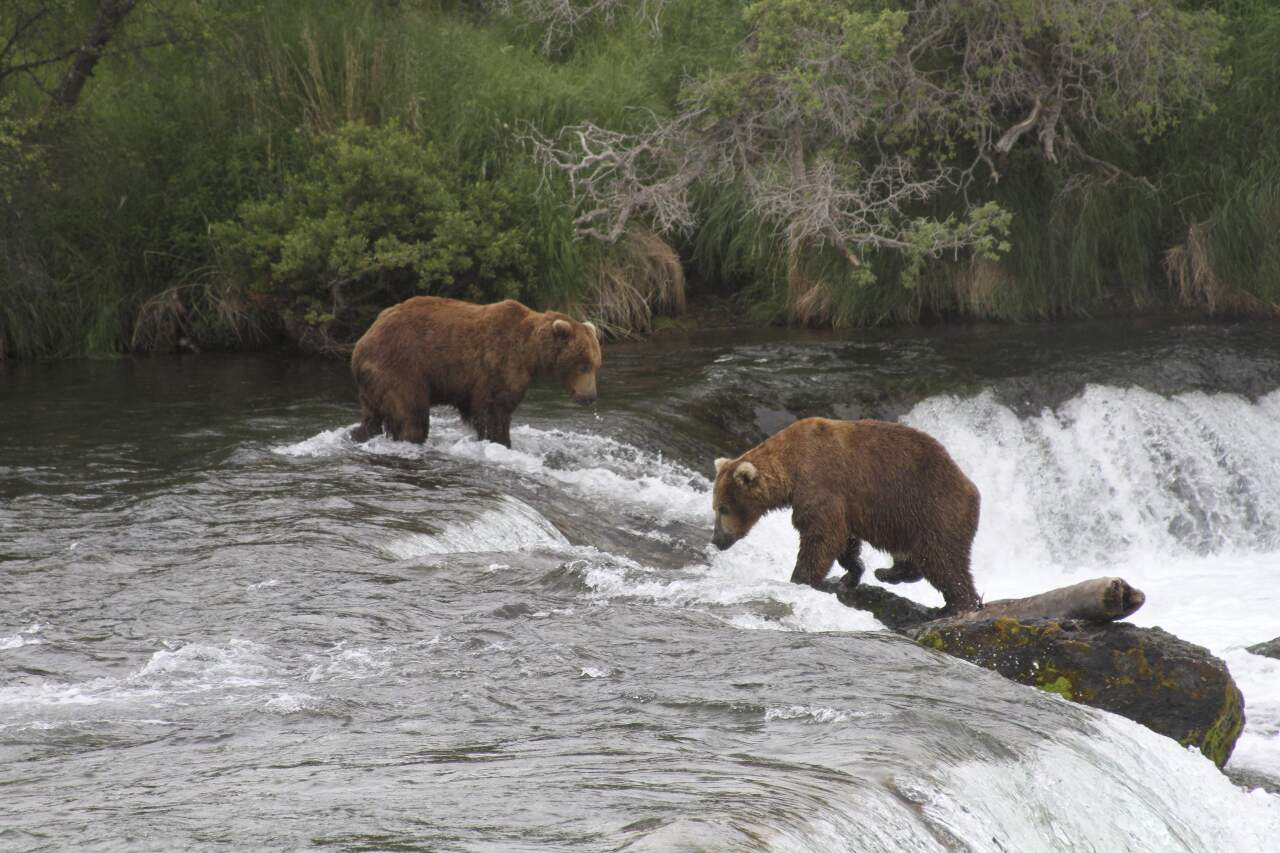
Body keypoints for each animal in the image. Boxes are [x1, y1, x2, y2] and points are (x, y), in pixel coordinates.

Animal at [349, 296, 602, 448]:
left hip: (373, 385)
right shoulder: (500, 363)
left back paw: (358, 435)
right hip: (401, 367)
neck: (532, 352)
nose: (590, 397)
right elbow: (495, 410)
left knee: (372, 418)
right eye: (583, 365)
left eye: (596, 364)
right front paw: (501, 441)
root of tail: (360, 344)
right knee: (411, 414)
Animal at [710, 417, 982, 613]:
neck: (792, 468)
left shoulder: (820, 482)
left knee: (942, 559)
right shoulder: (843, 503)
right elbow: (843, 539)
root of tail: (972, 488)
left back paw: (957, 604)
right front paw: (851, 573)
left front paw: (800, 578)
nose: (716, 540)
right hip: (907, 521)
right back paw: (888, 572)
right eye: (715, 507)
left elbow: (822, 534)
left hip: (932, 508)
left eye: (723, 508)